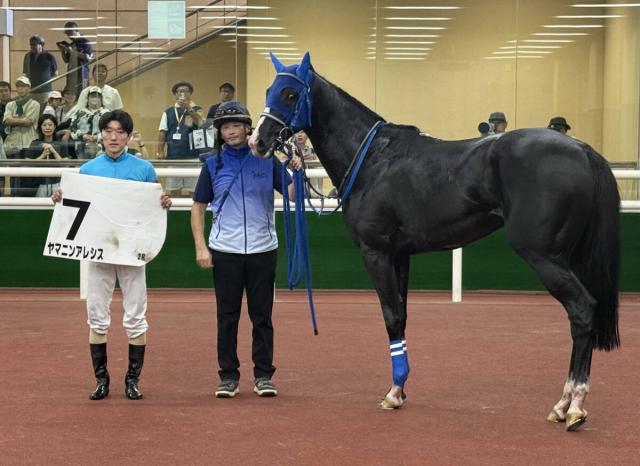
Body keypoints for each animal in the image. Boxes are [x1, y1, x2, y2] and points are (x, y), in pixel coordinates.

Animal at [248, 52, 620, 432]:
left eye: (291, 94)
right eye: (269, 90)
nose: (257, 141)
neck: (374, 159)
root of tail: (582, 149)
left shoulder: (376, 252)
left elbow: (390, 315)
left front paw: (393, 393)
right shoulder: (400, 255)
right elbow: (402, 315)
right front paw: (400, 389)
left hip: (544, 255)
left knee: (582, 309)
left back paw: (571, 405)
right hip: (568, 256)